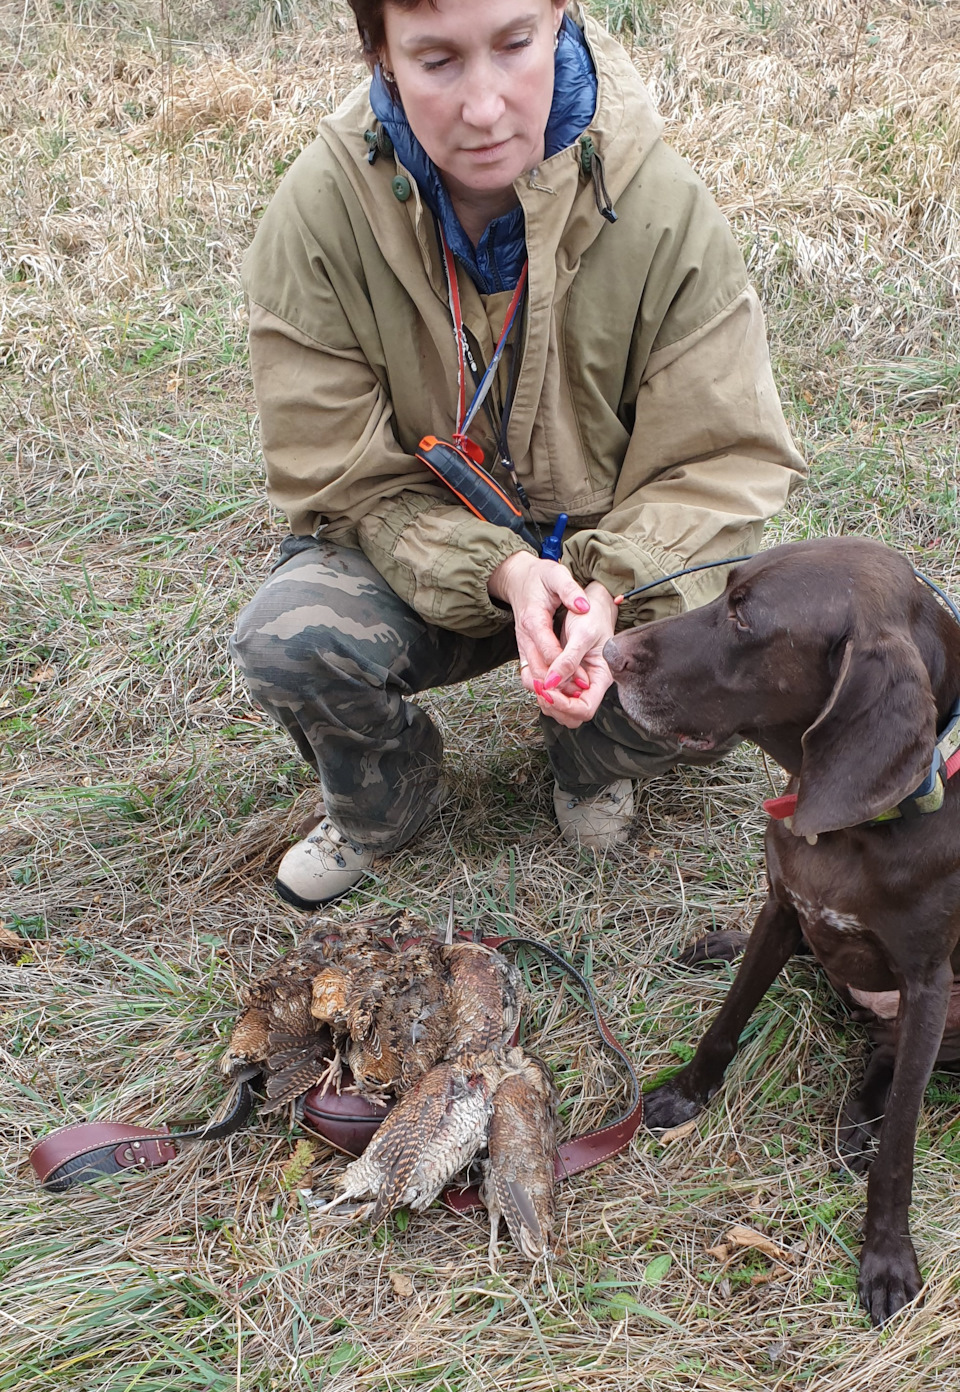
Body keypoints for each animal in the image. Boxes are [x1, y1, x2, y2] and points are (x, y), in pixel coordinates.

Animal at [601, 534, 957, 1325]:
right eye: (725, 589)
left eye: (745, 619)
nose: (607, 649)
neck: (861, 829)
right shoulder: (784, 905)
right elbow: (728, 1017)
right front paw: (685, 1093)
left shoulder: (928, 983)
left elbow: (901, 1144)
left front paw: (887, 1256)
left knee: (889, 1061)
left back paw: (861, 1119)